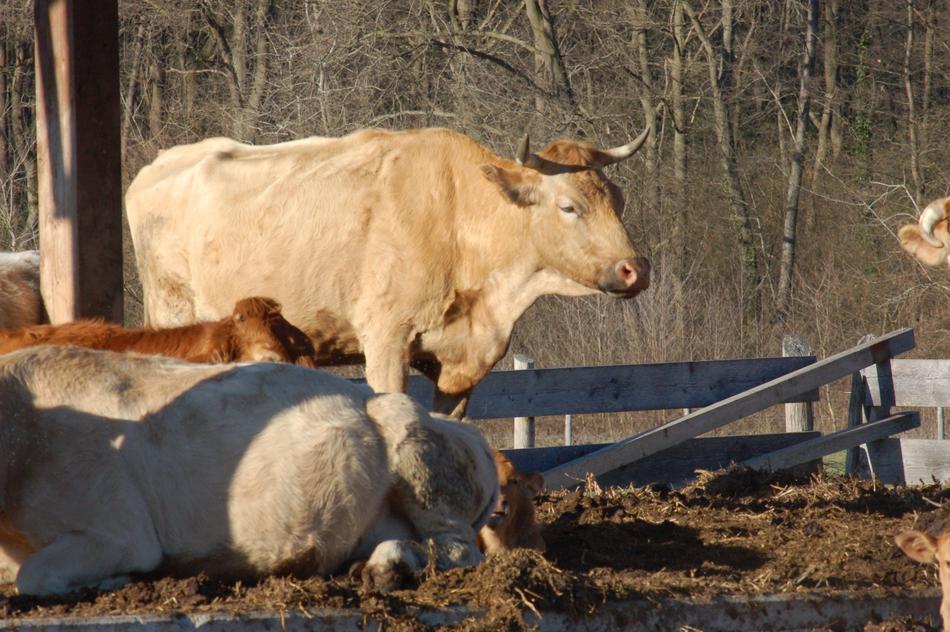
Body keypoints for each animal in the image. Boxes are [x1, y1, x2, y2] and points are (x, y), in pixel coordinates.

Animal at [0, 345, 498, 596]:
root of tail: (469, 432)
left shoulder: (121, 533)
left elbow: (34, 578)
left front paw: (111, 581)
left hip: (414, 450)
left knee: (458, 551)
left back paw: (390, 566)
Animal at [126, 127, 653, 417]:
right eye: (569, 206)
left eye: (620, 199)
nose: (635, 269)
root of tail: (156, 166)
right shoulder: (384, 341)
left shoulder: (460, 363)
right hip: (174, 316)